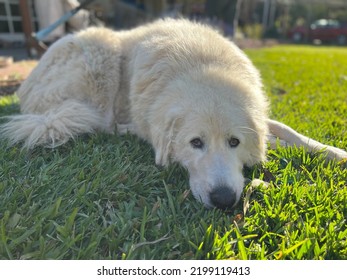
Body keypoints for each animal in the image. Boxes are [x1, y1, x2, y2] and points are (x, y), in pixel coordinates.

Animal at [1, 19, 346, 208]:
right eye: (196, 143)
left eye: (234, 142)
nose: (223, 200)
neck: (201, 67)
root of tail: (24, 86)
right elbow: (278, 140)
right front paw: (281, 147)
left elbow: (290, 131)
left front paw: (332, 152)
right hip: (101, 53)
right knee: (102, 122)